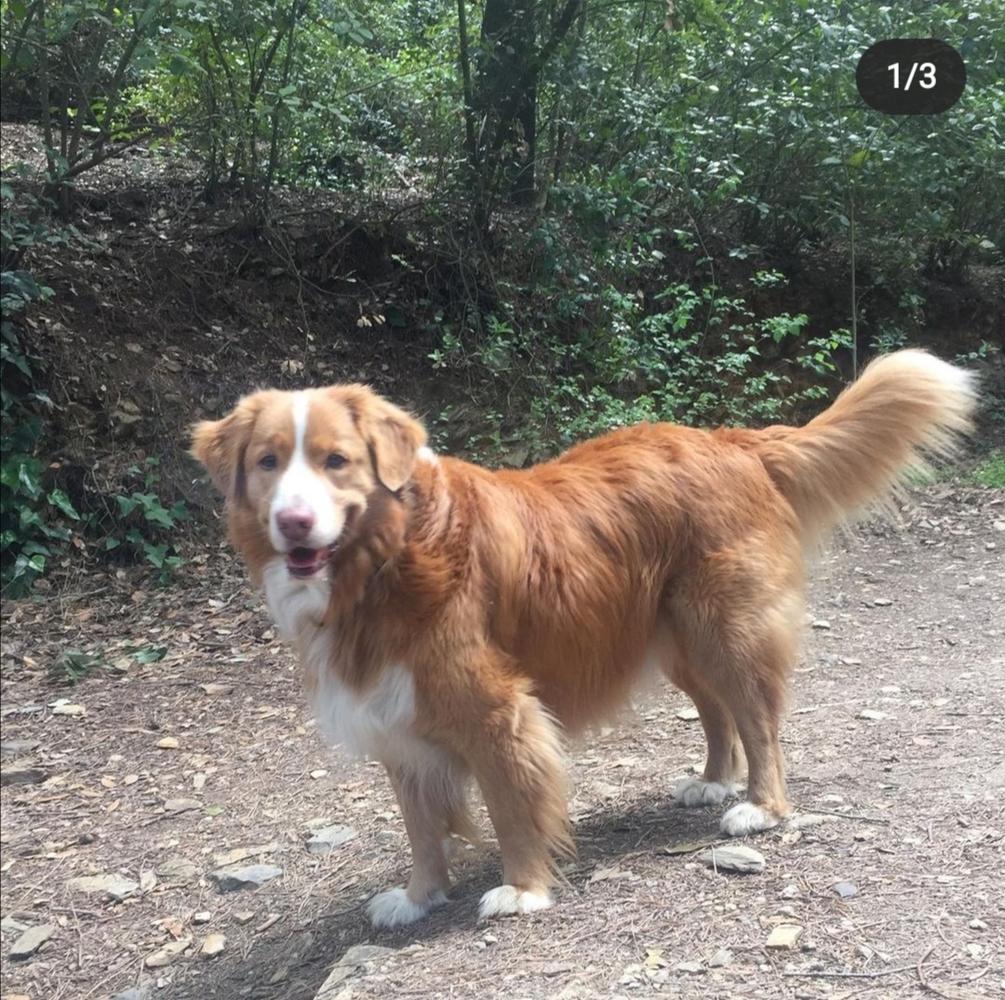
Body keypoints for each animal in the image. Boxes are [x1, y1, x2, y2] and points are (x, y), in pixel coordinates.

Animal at [188, 347, 972, 928]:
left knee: (759, 718)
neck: (386, 559)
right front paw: (418, 897)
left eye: (336, 460)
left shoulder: (496, 711)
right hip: (674, 640)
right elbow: (419, 824)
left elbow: (510, 806)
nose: (292, 522)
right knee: (718, 711)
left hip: (724, 627)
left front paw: (523, 889)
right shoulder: (395, 721)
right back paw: (713, 780)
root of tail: (731, 439)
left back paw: (759, 806)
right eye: (267, 463)